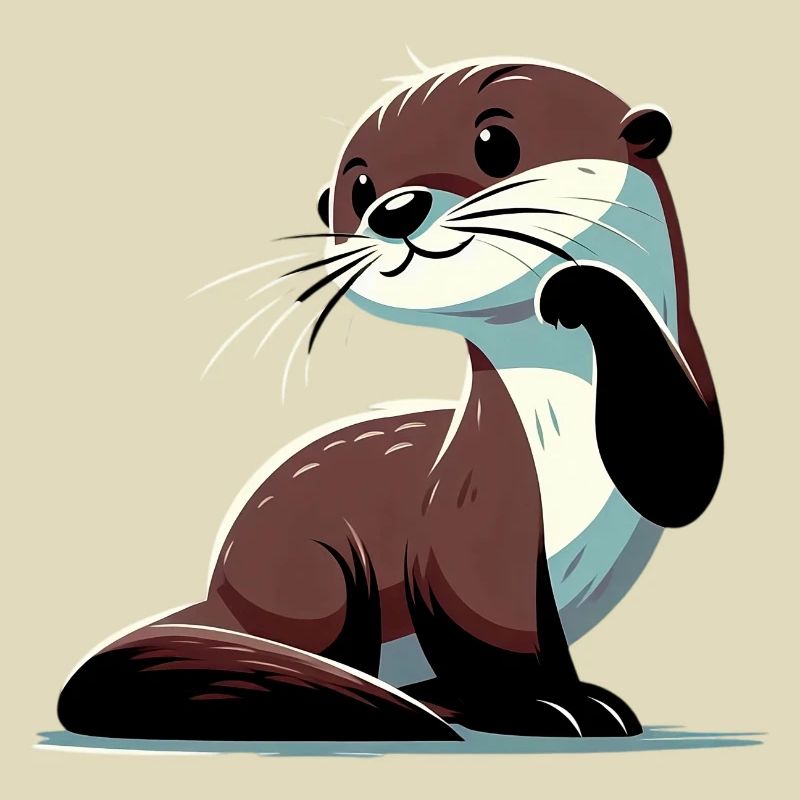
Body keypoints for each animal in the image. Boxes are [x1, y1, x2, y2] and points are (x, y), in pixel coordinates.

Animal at [57, 58, 723, 741]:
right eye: (359, 187)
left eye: (496, 144)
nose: (394, 209)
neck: (558, 418)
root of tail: (220, 596)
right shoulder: (474, 511)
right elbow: (490, 637)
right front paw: (549, 707)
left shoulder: (675, 416)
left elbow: (682, 475)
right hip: (313, 567)